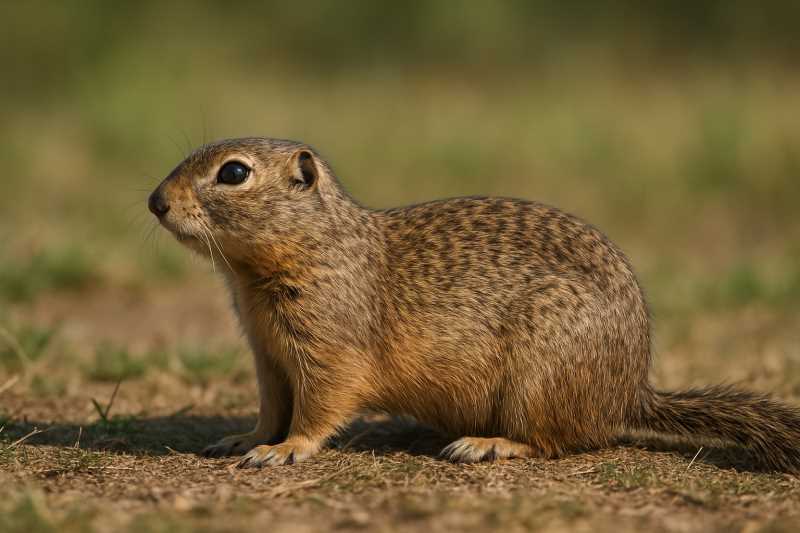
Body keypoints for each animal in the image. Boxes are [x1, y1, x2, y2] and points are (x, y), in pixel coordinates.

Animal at [148, 137, 800, 471]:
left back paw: (487, 443)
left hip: (538, 381)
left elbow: (318, 410)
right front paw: (244, 439)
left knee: (560, 441)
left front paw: (283, 451)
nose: (156, 201)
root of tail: (630, 392)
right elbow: (270, 407)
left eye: (234, 173)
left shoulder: (329, 351)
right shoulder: (268, 356)